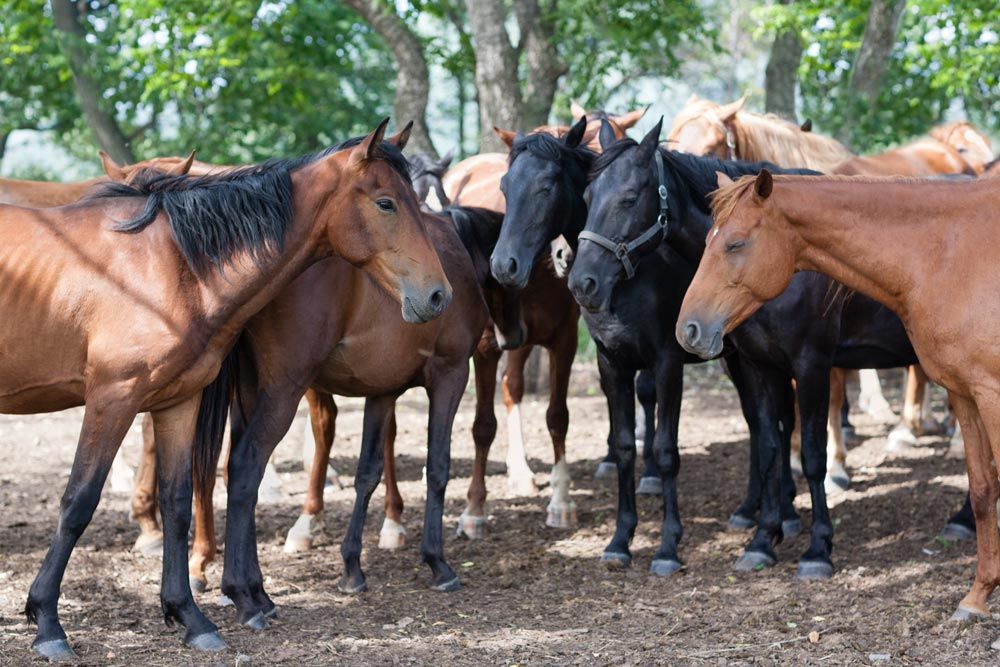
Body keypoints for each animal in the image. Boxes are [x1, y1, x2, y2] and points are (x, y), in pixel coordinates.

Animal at [0, 118, 450, 661]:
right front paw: (47, 621)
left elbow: (177, 504)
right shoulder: (113, 398)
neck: (171, 266)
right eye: (386, 202)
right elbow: (78, 502)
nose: (438, 295)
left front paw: (189, 615)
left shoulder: (177, 401)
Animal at [676, 169, 1000, 641]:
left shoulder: (990, 393)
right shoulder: (966, 394)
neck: (949, 253)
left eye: (735, 244)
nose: (688, 329)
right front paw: (976, 598)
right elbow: (982, 490)